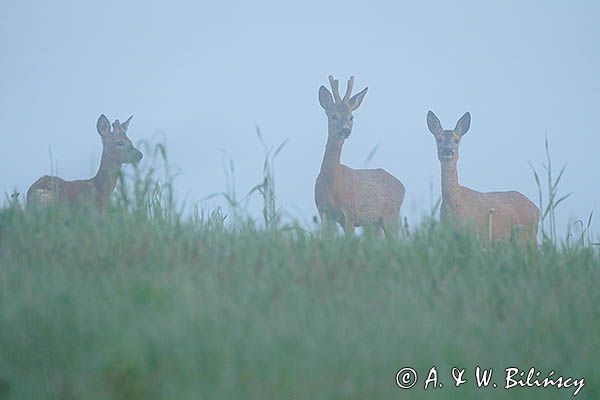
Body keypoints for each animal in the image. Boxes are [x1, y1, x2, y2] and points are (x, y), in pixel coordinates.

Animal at [314, 74, 408, 234]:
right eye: (334, 115)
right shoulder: (324, 212)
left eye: (351, 117)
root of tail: (402, 186)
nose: (346, 130)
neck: (332, 185)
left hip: (391, 215)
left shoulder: (350, 212)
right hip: (375, 224)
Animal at [426, 110, 540, 244]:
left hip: (527, 236)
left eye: (456, 140)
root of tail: (537, 209)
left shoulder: (478, 236)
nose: (448, 150)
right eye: (439, 139)